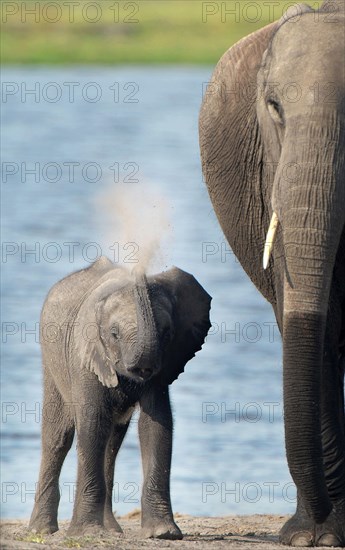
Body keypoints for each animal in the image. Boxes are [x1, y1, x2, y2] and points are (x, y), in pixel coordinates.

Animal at [28, 258, 210, 540]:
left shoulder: (163, 361)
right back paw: (42, 530)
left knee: (112, 443)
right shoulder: (85, 355)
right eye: (114, 334)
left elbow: (156, 424)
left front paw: (163, 533)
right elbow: (93, 422)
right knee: (58, 438)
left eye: (167, 333)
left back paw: (111, 530)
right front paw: (86, 532)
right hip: (52, 360)